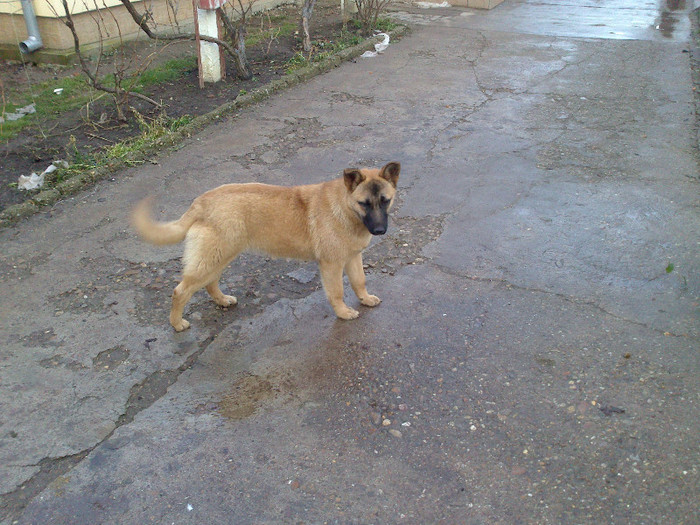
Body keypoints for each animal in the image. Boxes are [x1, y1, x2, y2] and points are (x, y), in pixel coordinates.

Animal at [131, 162, 400, 330]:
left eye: (385, 200)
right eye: (364, 203)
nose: (379, 231)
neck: (345, 208)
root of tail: (201, 202)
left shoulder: (353, 258)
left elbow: (359, 282)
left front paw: (365, 299)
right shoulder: (331, 266)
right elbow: (337, 292)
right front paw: (343, 313)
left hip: (221, 256)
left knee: (210, 283)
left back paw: (222, 300)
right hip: (213, 257)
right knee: (180, 291)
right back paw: (177, 324)